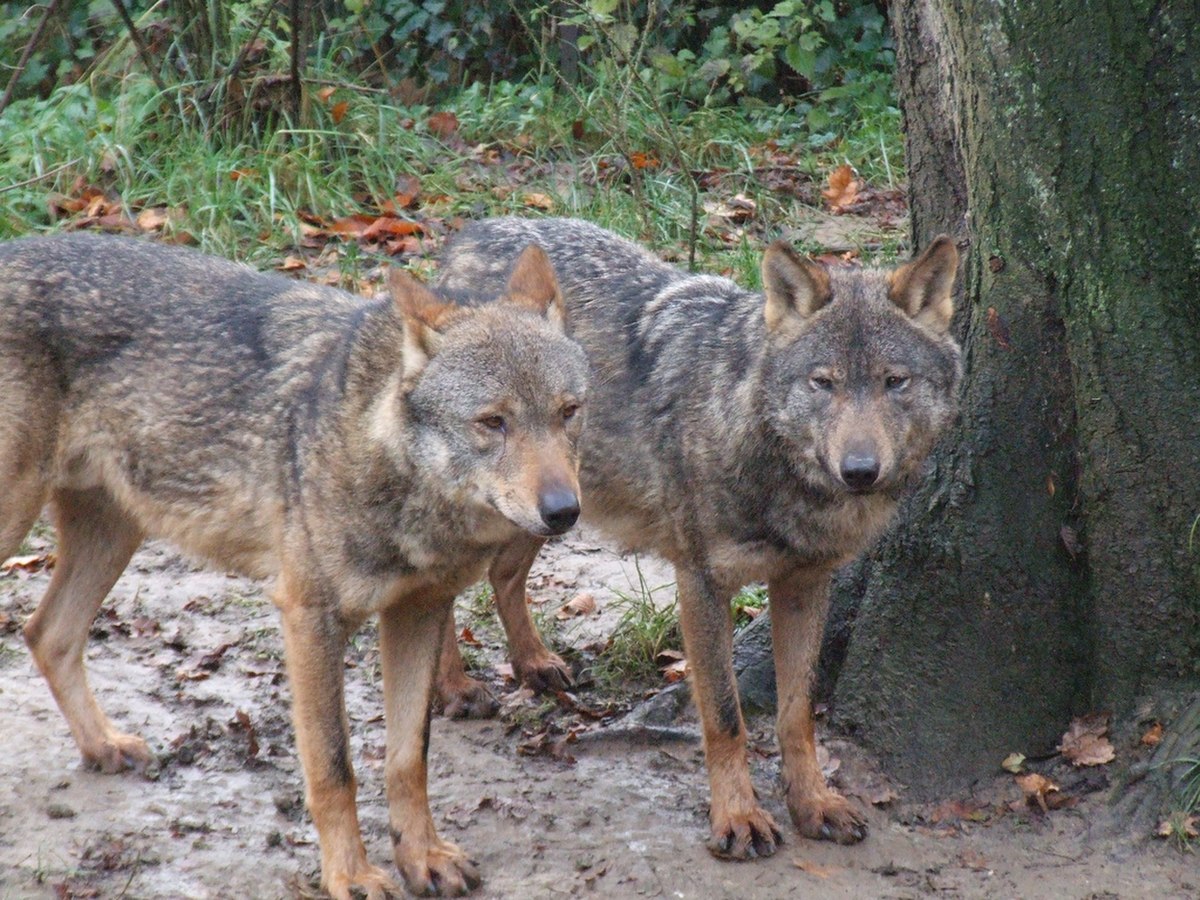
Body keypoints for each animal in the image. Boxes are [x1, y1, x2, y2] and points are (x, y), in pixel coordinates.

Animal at [0, 233, 589, 899]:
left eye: (568, 412)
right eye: (493, 421)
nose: (564, 511)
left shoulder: (418, 612)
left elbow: (408, 758)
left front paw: (422, 857)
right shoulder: (310, 619)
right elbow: (335, 768)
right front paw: (351, 874)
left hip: (113, 533)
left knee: (47, 634)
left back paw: (103, 745)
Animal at [434, 217, 961, 858]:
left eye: (894, 382)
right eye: (823, 383)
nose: (860, 471)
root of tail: (472, 231)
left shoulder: (805, 582)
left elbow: (797, 712)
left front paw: (813, 803)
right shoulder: (702, 584)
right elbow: (726, 716)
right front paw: (737, 817)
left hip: (551, 510)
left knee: (503, 575)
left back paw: (535, 664)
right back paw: (454, 688)